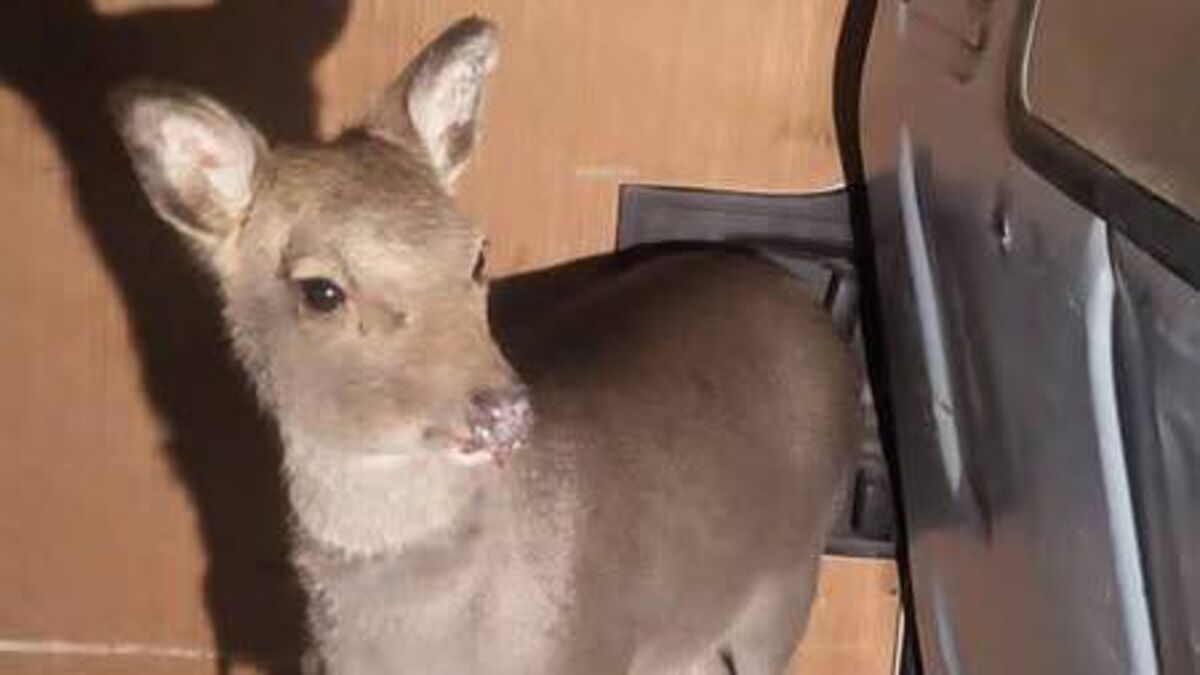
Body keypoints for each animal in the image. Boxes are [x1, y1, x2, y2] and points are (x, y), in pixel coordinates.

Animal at [110, 16, 860, 675]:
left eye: (477, 253)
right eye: (320, 290)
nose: (502, 412)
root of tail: (796, 296)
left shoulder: (593, 649)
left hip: (788, 580)